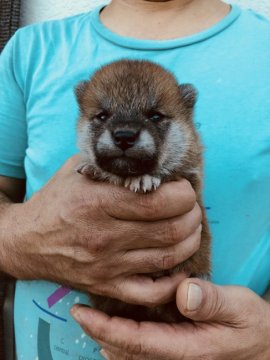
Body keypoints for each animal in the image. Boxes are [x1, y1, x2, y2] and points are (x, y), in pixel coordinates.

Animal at [75, 60, 210, 322]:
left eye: (155, 116)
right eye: (102, 115)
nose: (124, 136)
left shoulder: (190, 180)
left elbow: (167, 173)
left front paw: (143, 178)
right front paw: (94, 168)